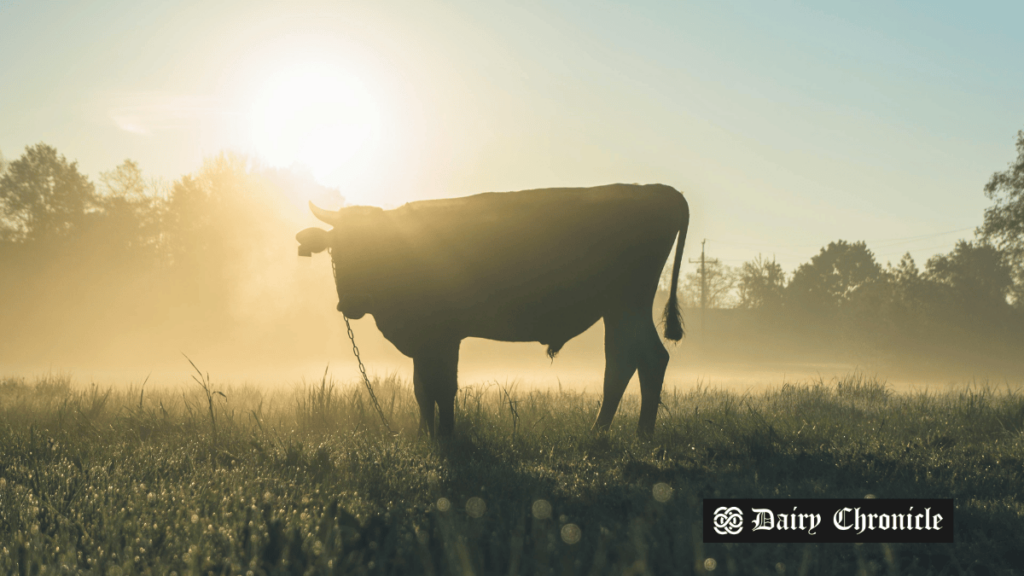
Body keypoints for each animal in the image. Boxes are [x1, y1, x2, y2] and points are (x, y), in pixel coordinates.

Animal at [299, 182, 692, 434]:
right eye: (337, 248)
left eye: (375, 246)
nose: (351, 302)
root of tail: (659, 190)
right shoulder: (425, 340)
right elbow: (421, 389)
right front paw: (425, 435)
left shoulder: (442, 336)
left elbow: (442, 386)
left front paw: (446, 436)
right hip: (621, 309)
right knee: (635, 361)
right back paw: (621, 433)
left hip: (627, 304)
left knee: (638, 360)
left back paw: (620, 434)